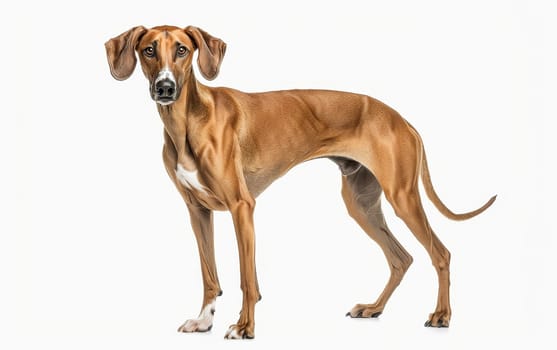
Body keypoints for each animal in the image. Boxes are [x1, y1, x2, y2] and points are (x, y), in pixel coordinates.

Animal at [104, 24, 496, 340]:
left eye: (182, 50)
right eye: (149, 49)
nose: (165, 88)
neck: (188, 121)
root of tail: (403, 119)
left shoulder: (242, 207)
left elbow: (247, 278)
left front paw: (245, 327)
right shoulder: (197, 211)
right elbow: (209, 274)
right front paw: (204, 321)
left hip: (402, 197)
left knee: (440, 253)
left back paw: (442, 315)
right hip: (361, 204)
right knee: (401, 258)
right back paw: (373, 308)